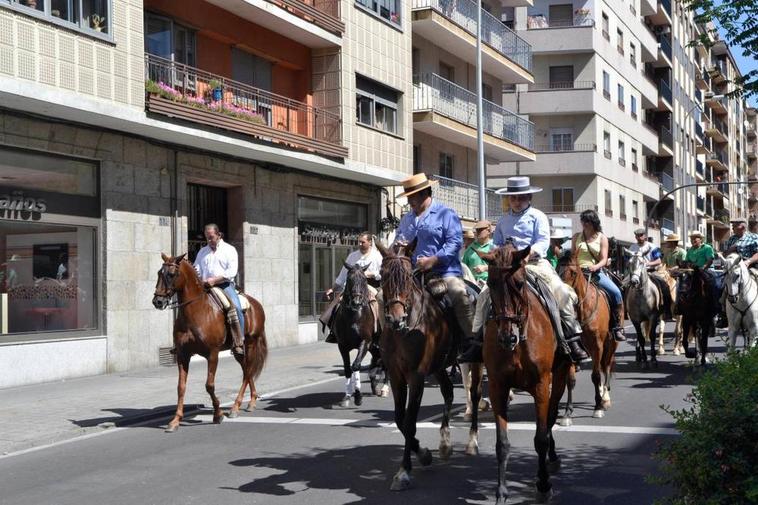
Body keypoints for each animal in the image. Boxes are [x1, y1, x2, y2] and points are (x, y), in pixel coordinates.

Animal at [151, 254, 268, 432]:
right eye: (159, 273)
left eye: (171, 274)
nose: (157, 301)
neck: (196, 311)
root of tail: (257, 304)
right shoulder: (183, 355)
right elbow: (181, 387)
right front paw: (175, 420)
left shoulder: (212, 354)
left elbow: (209, 385)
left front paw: (217, 414)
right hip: (238, 350)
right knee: (246, 370)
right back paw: (252, 401)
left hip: (251, 343)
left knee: (248, 371)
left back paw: (235, 407)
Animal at [334, 262, 388, 408]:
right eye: (349, 279)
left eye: (364, 280)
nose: (357, 302)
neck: (354, 316)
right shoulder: (342, 345)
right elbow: (348, 369)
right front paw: (347, 396)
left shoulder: (364, 342)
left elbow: (356, 365)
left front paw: (358, 397)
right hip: (374, 347)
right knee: (375, 363)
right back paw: (375, 387)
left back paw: (384, 389)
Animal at [378, 238, 484, 490]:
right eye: (382, 275)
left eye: (408, 276)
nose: (396, 319)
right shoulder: (396, 375)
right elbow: (400, 419)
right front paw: (424, 454)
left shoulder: (416, 376)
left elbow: (409, 422)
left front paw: (404, 471)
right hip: (439, 366)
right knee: (448, 392)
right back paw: (445, 444)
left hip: (474, 360)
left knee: (474, 395)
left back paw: (472, 442)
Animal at [484, 243, 572, 500]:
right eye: (490, 282)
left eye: (520, 283)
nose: (507, 337)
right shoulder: (497, 387)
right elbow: (502, 443)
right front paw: (501, 490)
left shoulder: (541, 385)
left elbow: (541, 437)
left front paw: (543, 485)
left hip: (559, 376)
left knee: (551, 419)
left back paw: (552, 458)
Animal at [560, 254, 616, 420]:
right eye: (557, 269)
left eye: (573, 272)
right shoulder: (572, 348)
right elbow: (570, 380)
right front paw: (568, 412)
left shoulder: (597, 346)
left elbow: (596, 375)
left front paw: (598, 407)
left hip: (611, 344)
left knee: (607, 366)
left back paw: (605, 398)